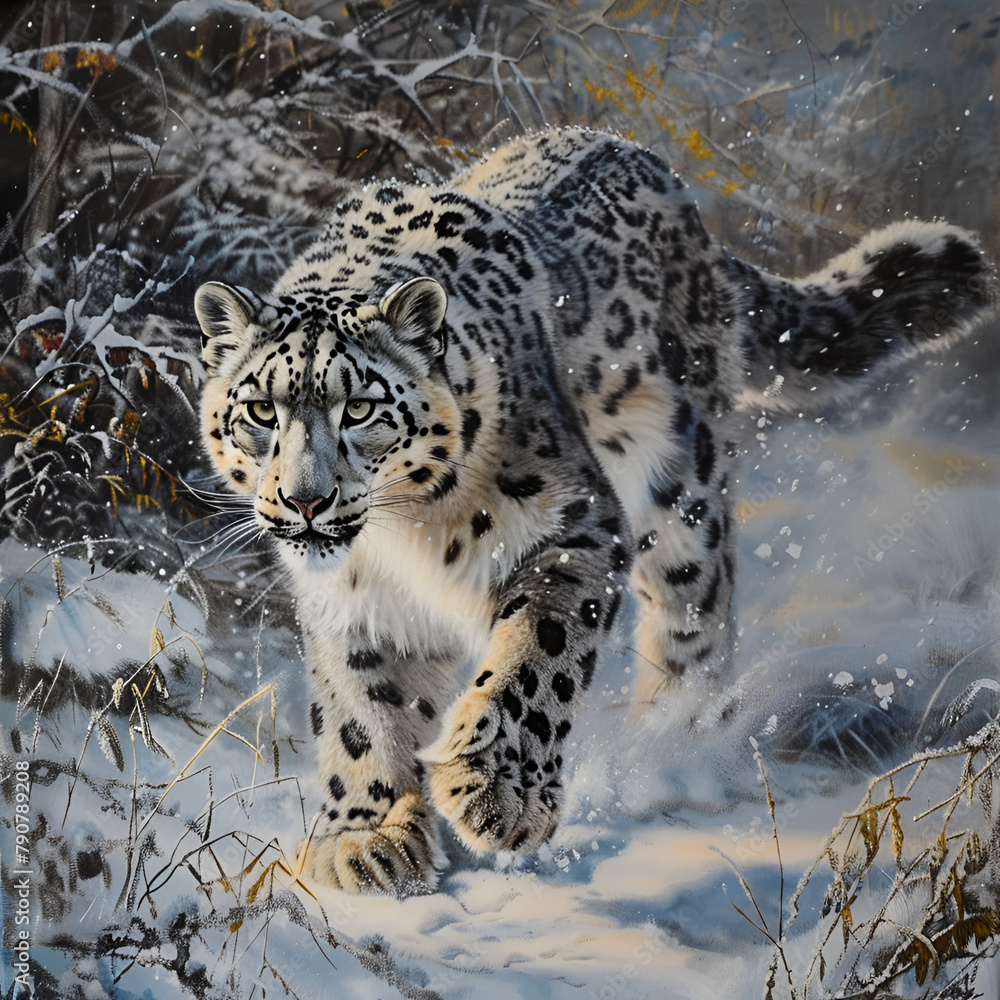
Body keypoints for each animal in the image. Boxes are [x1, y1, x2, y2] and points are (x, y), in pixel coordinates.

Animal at [194, 127, 995, 897]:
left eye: (358, 408)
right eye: (261, 410)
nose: (304, 500)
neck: (404, 534)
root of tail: (656, 172)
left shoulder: (570, 528)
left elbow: (533, 658)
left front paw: (497, 793)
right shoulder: (354, 597)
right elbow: (363, 704)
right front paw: (369, 836)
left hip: (680, 485)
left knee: (695, 613)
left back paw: (675, 749)